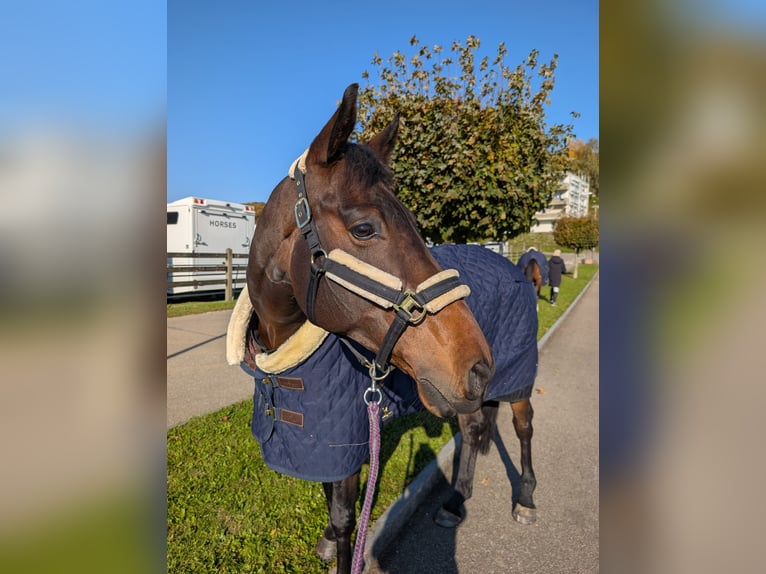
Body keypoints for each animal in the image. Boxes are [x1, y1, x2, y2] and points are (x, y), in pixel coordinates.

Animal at [226, 84, 538, 573]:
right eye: (364, 228)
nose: (477, 364)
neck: (285, 358)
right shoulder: (330, 444)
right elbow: (332, 506)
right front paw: (327, 541)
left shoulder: (347, 441)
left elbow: (344, 519)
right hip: (462, 394)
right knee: (472, 429)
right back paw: (456, 501)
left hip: (517, 379)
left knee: (523, 429)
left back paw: (525, 498)